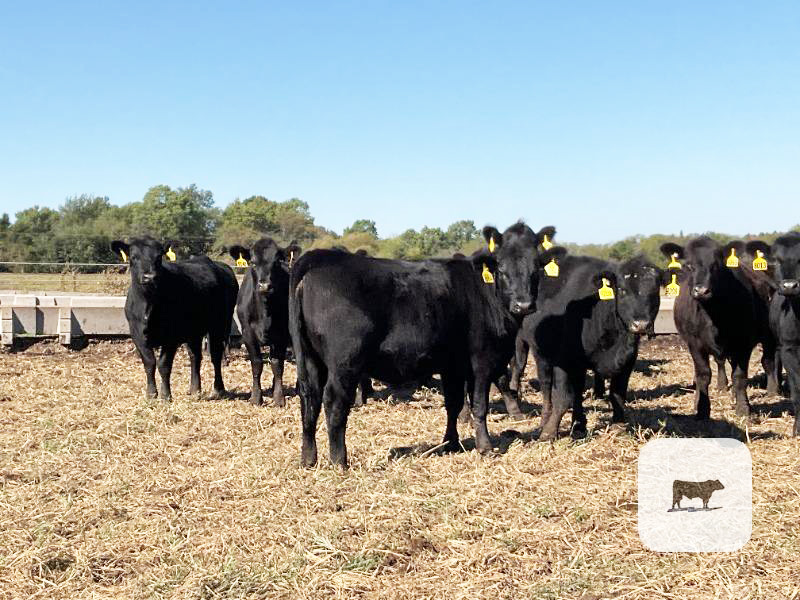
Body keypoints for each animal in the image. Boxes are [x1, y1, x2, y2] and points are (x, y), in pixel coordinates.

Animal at [111, 237, 239, 400]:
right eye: (134, 257)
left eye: (159, 257)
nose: (149, 277)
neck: (148, 303)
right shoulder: (137, 334)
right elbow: (149, 363)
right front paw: (151, 394)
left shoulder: (171, 337)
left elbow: (163, 365)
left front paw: (166, 395)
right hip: (194, 331)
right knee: (195, 356)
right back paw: (195, 389)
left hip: (220, 324)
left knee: (216, 356)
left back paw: (218, 389)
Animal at [228, 238, 301, 406]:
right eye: (253, 262)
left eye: (276, 262)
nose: (264, 285)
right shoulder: (247, 333)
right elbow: (257, 363)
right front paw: (256, 397)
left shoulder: (282, 335)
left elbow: (277, 365)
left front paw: (279, 398)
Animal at [289, 222, 556, 468]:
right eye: (501, 267)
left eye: (536, 268)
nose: (524, 304)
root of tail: (318, 257)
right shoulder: (482, 361)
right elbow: (479, 405)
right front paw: (486, 447)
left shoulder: (453, 366)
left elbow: (454, 404)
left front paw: (451, 443)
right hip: (344, 363)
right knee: (334, 403)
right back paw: (339, 462)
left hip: (312, 360)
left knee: (309, 400)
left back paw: (308, 459)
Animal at [517, 254, 667, 440]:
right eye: (622, 290)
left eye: (654, 292)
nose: (641, 324)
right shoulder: (563, 360)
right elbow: (562, 398)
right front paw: (549, 432)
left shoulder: (627, 361)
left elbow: (617, 394)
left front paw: (618, 425)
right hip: (531, 348)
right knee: (544, 386)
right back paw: (545, 420)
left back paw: (579, 424)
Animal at [659, 237, 777, 421]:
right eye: (689, 265)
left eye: (716, 265)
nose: (701, 290)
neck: (712, 315)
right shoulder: (695, 344)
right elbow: (703, 375)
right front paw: (701, 408)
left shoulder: (743, 344)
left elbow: (739, 376)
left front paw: (743, 409)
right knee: (720, 363)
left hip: (768, 336)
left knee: (768, 361)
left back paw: (772, 391)